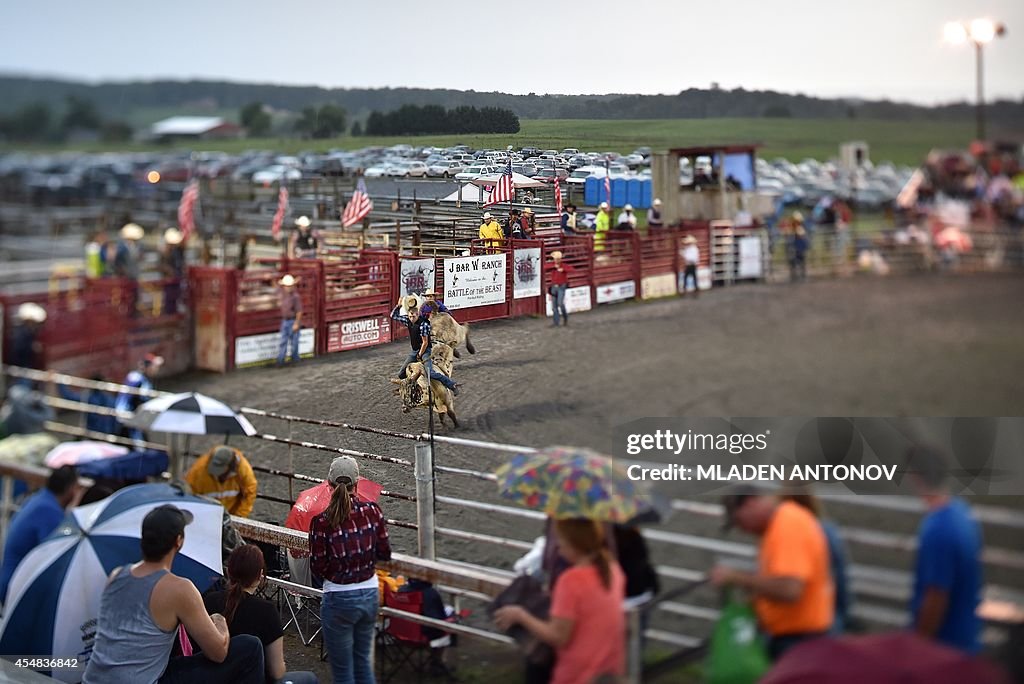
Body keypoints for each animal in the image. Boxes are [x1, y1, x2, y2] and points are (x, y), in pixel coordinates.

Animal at [391, 294, 475, 428]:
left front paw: (457, 426)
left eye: (412, 389)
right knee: (454, 344)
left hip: (457, 333)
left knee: (465, 328)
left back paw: (471, 348)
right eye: (400, 391)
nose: (404, 408)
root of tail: (436, 312)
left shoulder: (447, 398)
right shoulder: (436, 405)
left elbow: (450, 413)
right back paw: (456, 352)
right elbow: (441, 415)